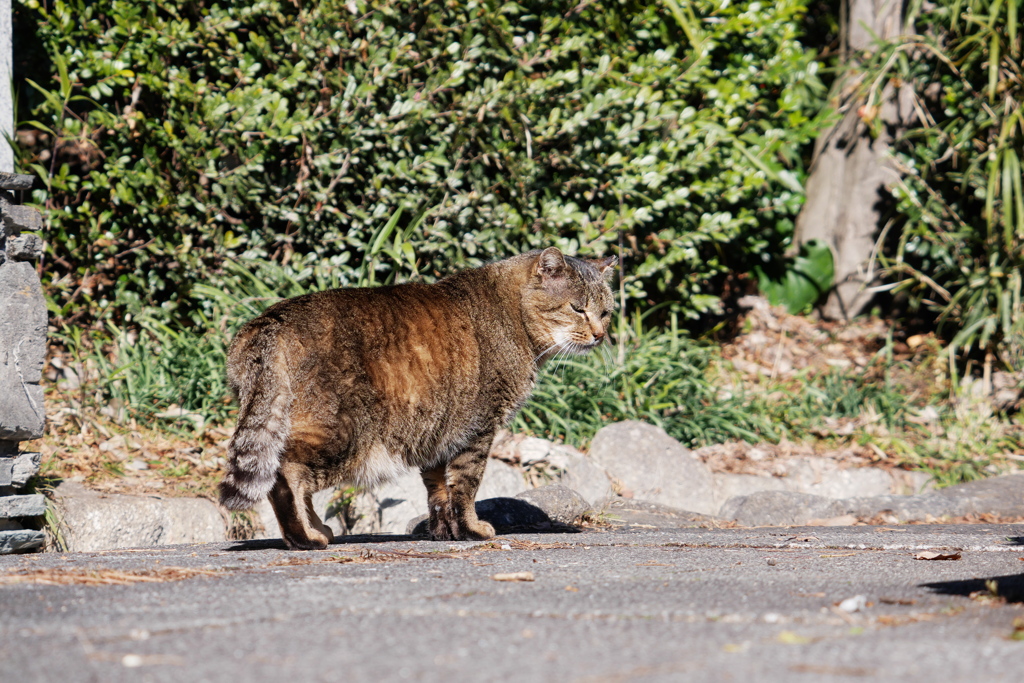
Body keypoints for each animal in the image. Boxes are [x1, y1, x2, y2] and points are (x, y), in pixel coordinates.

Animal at [219, 246, 610, 548]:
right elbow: (466, 485)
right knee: (285, 475)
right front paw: (472, 529)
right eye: (577, 308)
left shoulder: (436, 431)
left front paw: (445, 533)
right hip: (342, 435)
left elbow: (438, 490)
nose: (600, 334)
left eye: (606, 312)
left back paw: (316, 529)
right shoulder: (480, 428)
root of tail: (269, 321)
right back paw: (304, 537)